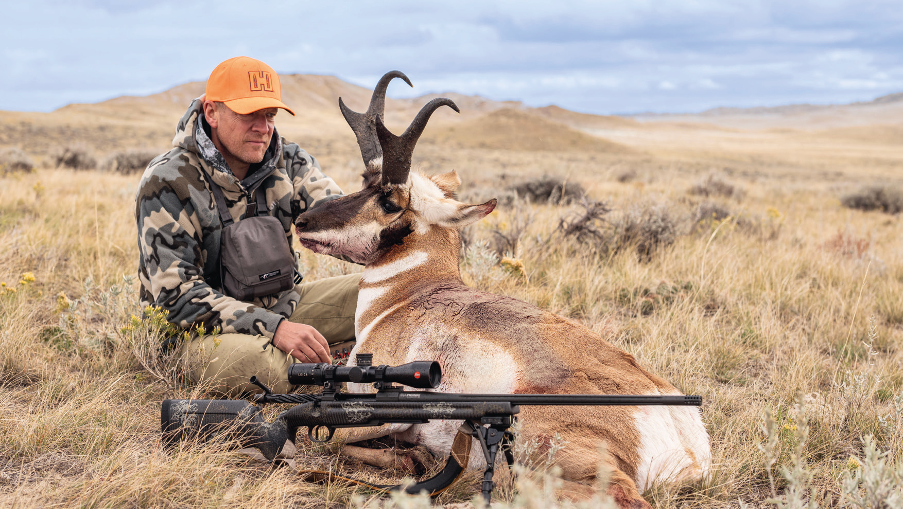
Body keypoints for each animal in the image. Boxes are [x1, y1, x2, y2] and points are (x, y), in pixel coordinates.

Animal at [294, 71, 708, 504]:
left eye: (390, 202)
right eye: (363, 182)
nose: (302, 221)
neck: (408, 295)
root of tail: (681, 432)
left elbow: (320, 440)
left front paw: (409, 458)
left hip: (539, 442)